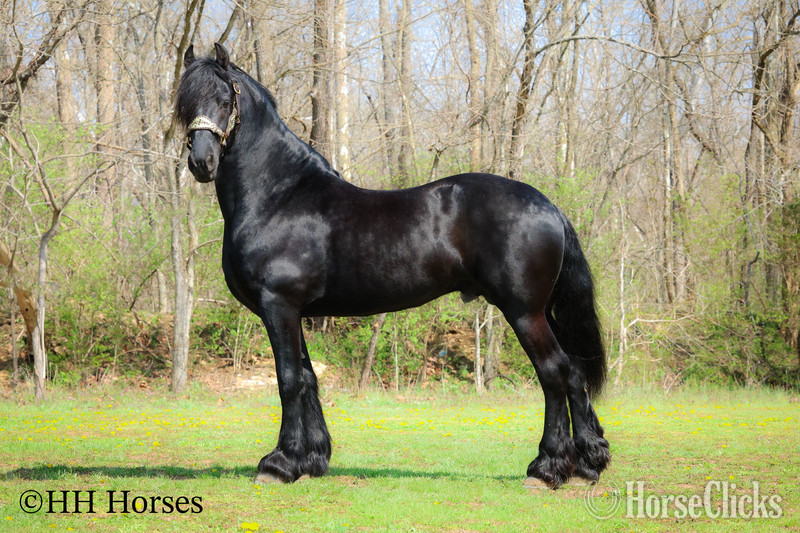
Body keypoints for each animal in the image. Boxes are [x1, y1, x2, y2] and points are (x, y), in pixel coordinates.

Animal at [174, 43, 610, 489]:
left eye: (225, 100)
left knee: (554, 372)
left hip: (524, 312)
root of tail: (549, 206)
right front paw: (311, 460)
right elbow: (309, 378)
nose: (202, 162)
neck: (279, 196)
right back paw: (586, 464)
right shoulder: (294, 312)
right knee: (575, 372)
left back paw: (546, 468)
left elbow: (289, 380)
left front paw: (279, 464)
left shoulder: (278, 305)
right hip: (542, 312)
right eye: (184, 103)